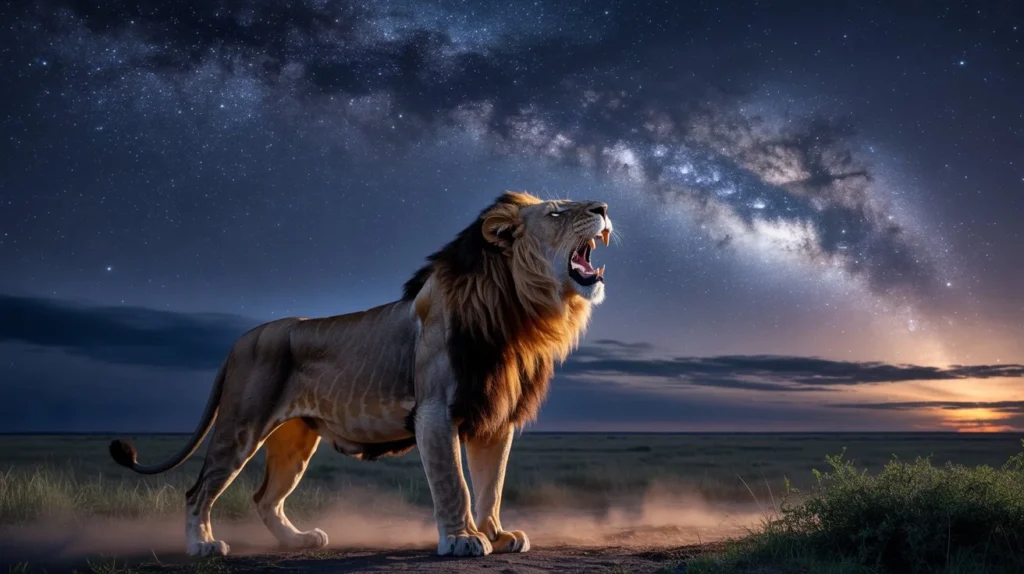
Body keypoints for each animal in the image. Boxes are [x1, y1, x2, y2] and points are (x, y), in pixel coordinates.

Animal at [109, 191, 612, 558]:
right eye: (557, 211)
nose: (605, 208)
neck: (517, 314)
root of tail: (240, 341)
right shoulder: (436, 410)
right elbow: (455, 484)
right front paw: (462, 539)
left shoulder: (495, 417)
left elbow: (492, 486)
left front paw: (498, 534)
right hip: (240, 426)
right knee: (198, 492)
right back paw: (204, 546)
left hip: (294, 441)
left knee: (265, 498)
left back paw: (299, 541)